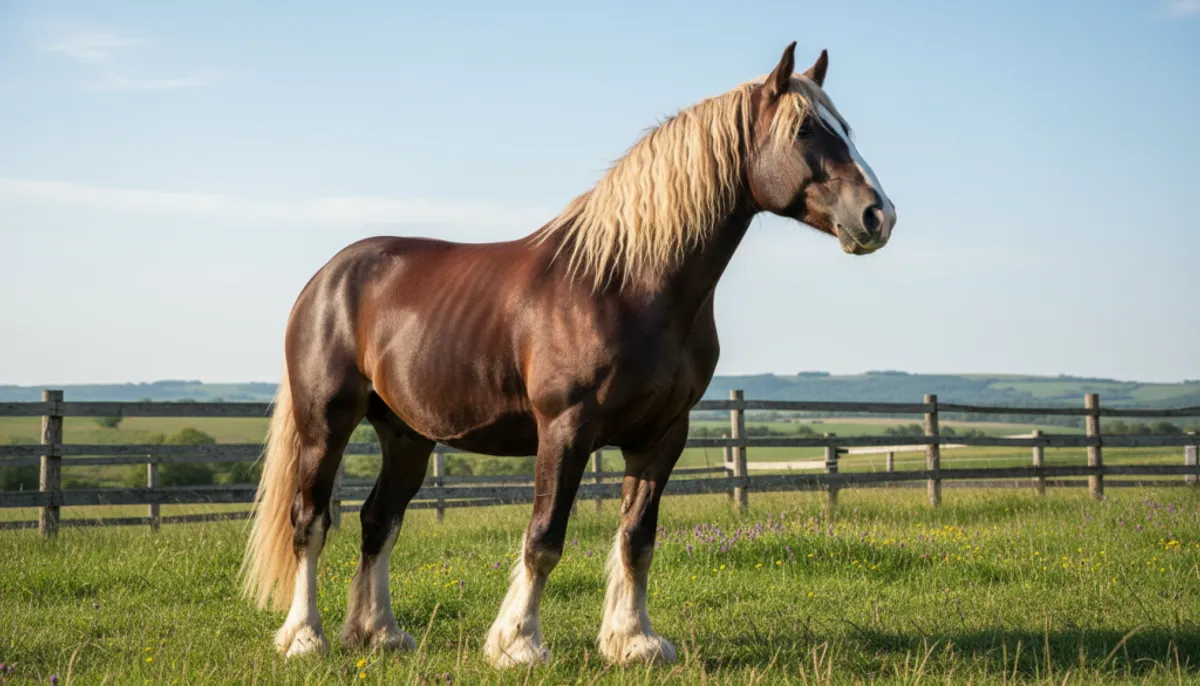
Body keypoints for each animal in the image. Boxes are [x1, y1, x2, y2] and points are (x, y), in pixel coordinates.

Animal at [239, 41, 896, 669]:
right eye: (805, 130)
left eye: (844, 127)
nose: (878, 216)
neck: (627, 283)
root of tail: (328, 277)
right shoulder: (566, 429)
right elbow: (545, 537)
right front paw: (518, 643)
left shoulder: (663, 436)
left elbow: (637, 538)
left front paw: (634, 641)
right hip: (326, 425)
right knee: (311, 521)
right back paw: (305, 637)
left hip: (407, 435)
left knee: (380, 521)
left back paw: (379, 634)